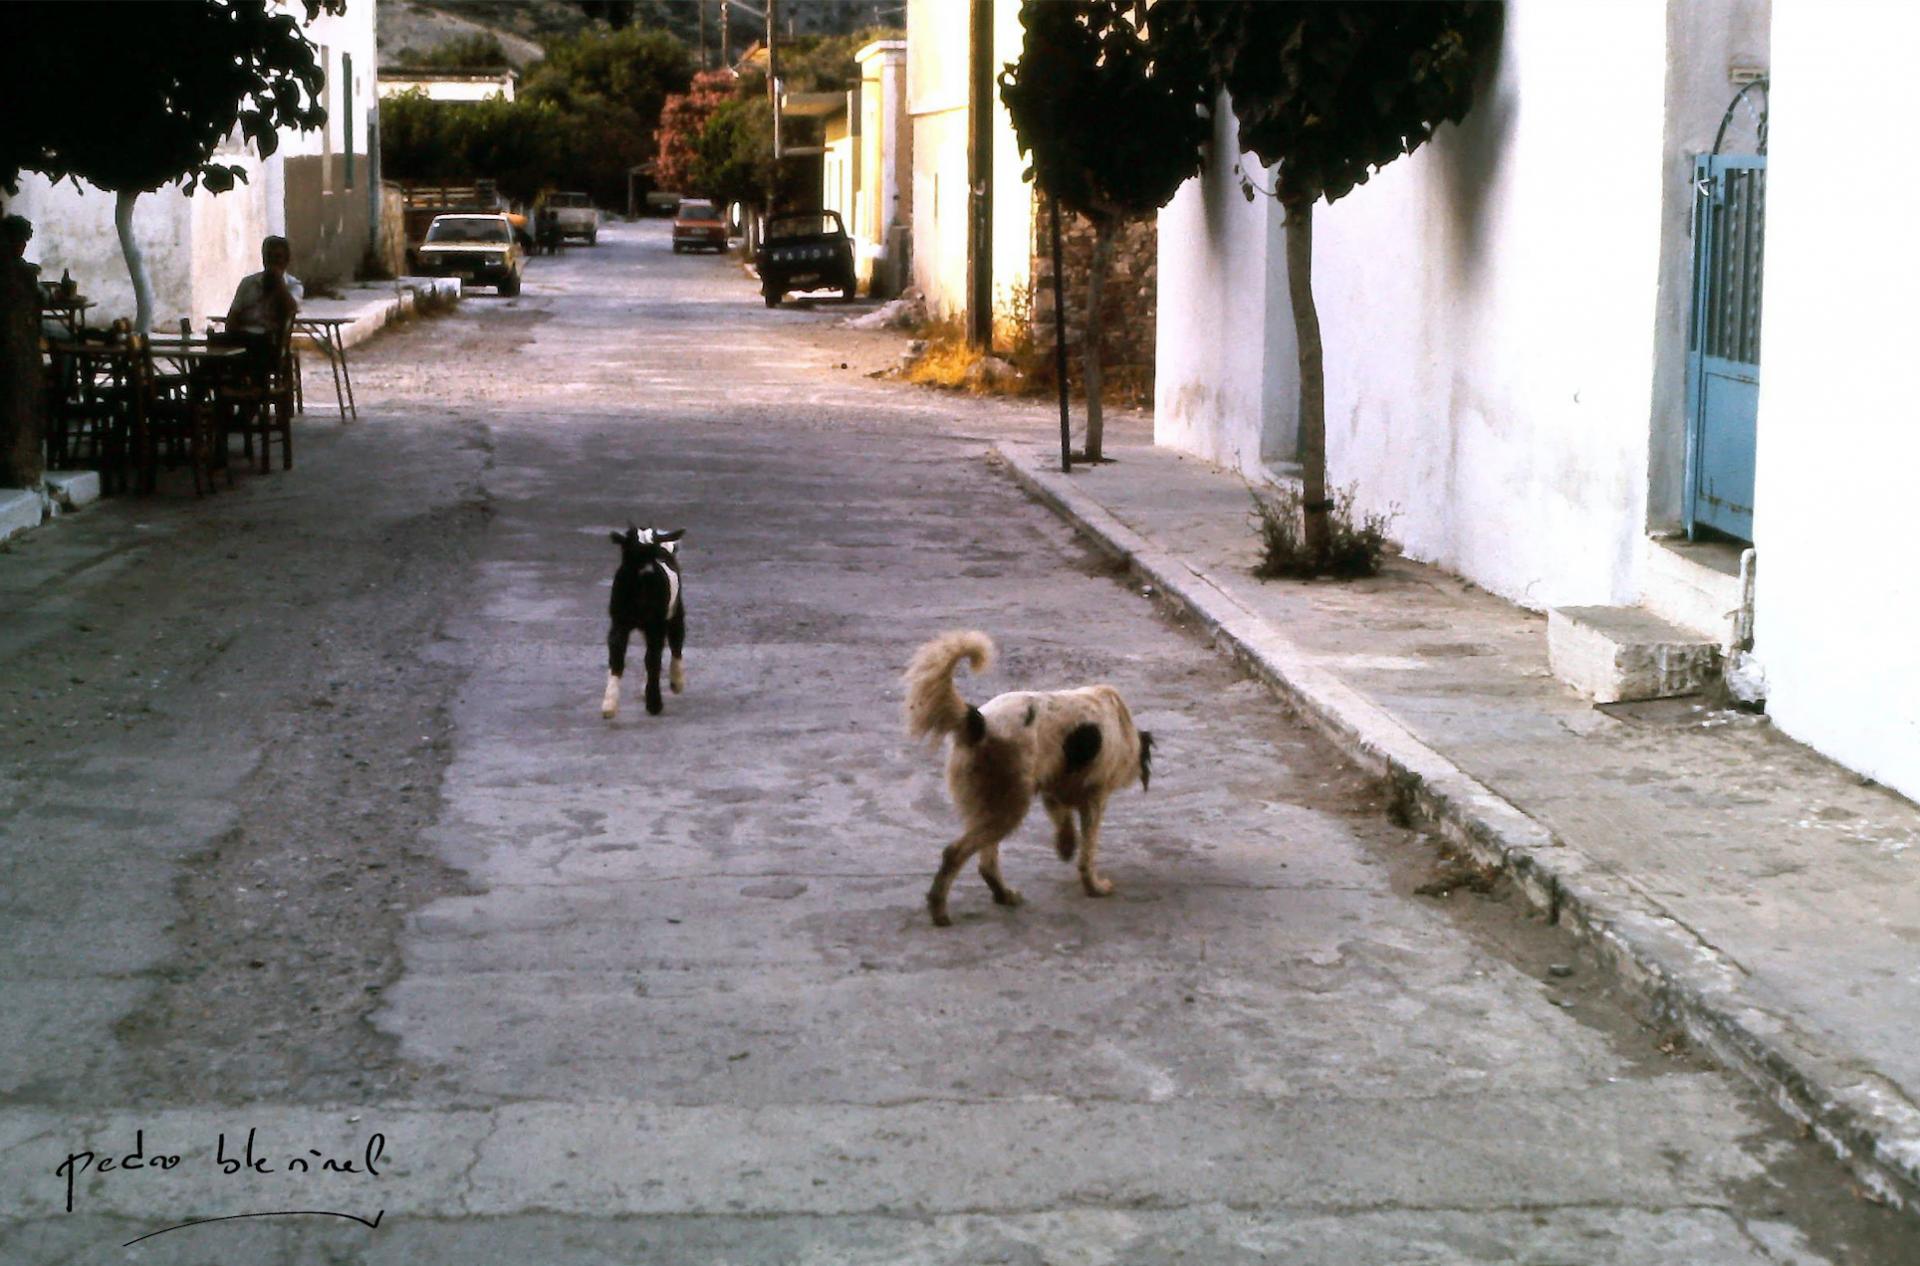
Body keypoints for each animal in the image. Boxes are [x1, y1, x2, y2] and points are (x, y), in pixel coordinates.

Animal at [606, 526, 691, 718]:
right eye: (629, 548)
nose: (647, 571)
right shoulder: (620, 622)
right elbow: (618, 657)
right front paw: (609, 706)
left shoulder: (653, 624)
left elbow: (651, 659)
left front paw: (653, 701)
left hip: (670, 613)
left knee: (674, 643)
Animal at [902, 630, 1152, 925]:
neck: (1121, 724)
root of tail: (978, 722)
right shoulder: (1095, 797)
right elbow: (1087, 852)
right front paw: (1094, 886)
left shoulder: (1053, 786)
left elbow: (1064, 821)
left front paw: (1065, 846)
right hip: (1009, 805)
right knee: (955, 853)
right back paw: (940, 910)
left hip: (994, 803)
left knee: (986, 862)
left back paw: (1003, 894)